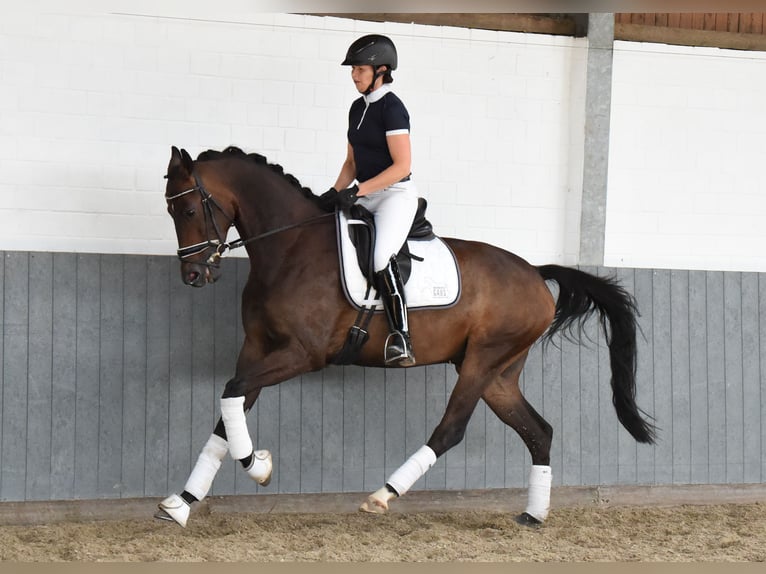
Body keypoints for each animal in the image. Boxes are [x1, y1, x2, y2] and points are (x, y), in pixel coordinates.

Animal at [158, 145, 660, 532]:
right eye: (170, 210)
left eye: (189, 209)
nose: (193, 275)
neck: (291, 249)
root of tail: (536, 272)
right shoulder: (258, 349)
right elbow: (228, 410)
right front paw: (181, 504)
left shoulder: (303, 353)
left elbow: (231, 393)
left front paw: (257, 465)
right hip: (498, 374)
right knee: (539, 431)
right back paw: (534, 516)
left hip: (482, 361)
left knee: (451, 429)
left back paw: (383, 495)